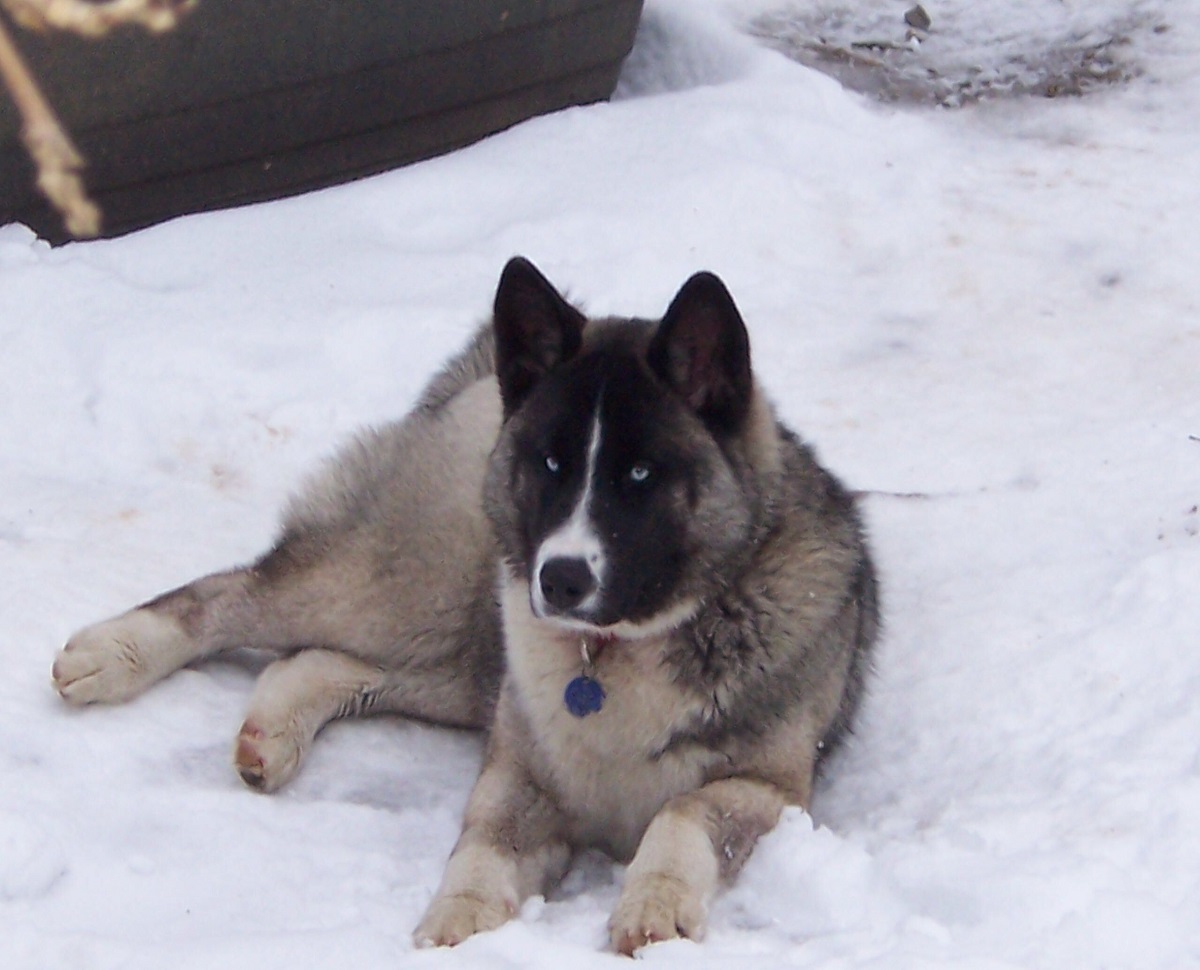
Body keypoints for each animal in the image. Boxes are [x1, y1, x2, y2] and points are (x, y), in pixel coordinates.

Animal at [51, 258, 878, 955]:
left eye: (641, 473)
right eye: (552, 462)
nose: (561, 579)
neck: (613, 652)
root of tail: (484, 381)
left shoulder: (772, 792)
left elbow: (682, 813)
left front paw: (652, 906)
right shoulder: (518, 771)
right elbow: (484, 844)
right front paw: (461, 925)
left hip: (465, 652)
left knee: (321, 661)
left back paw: (270, 731)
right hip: (413, 582)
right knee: (237, 593)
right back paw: (110, 654)